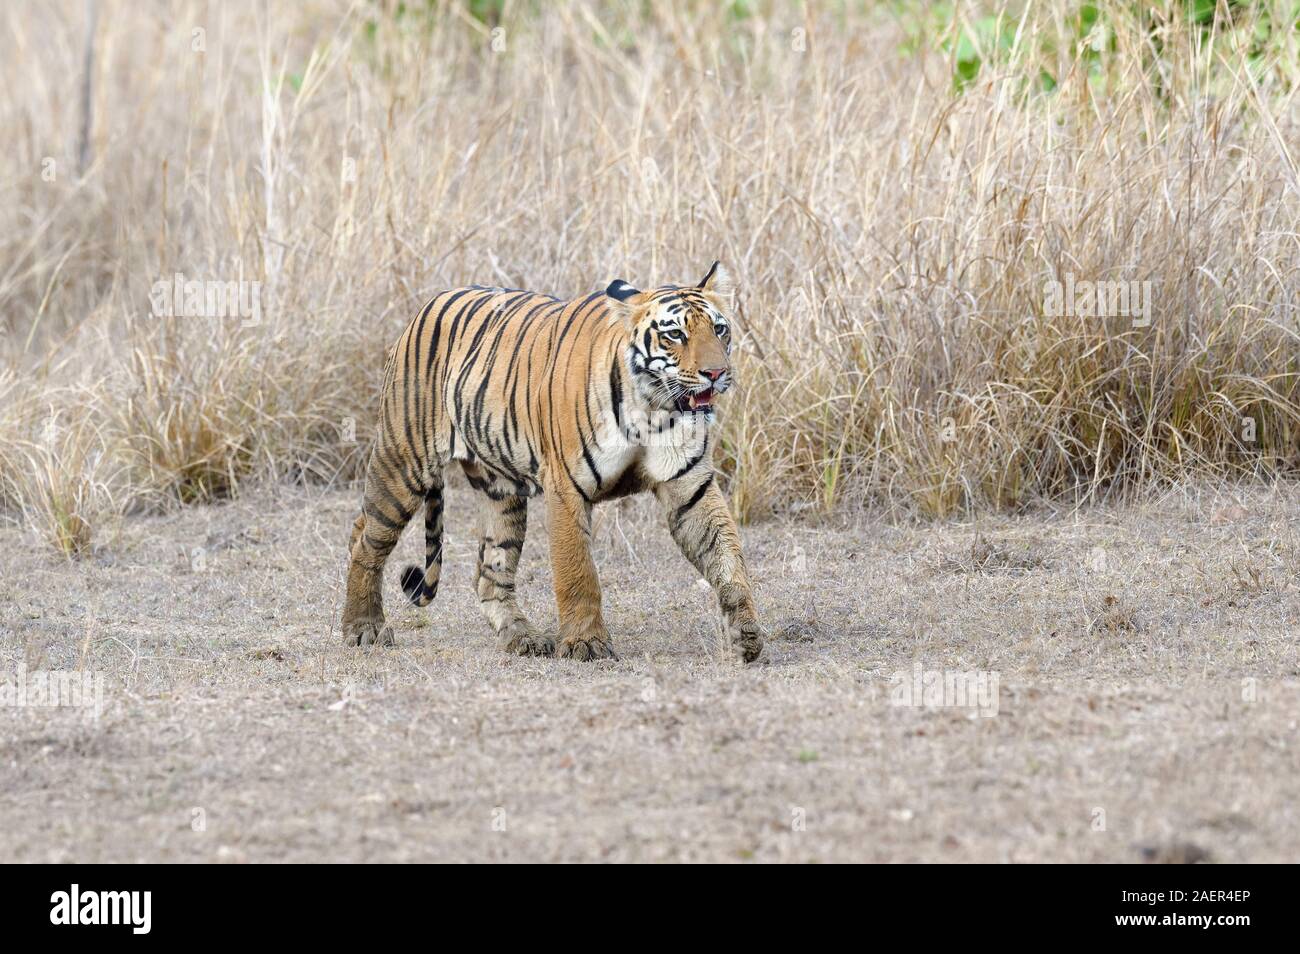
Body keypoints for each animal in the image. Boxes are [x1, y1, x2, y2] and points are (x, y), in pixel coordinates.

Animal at [340, 261, 764, 665]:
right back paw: (363, 628)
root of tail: (429, 303)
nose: (717, 373)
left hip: (501, 493)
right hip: (403, 462)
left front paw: (746, 634)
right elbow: (577, 570)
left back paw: (522, 637)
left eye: (720, 330)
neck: (652, 408)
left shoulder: (690, 488)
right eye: (675, 334)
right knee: (365, 539)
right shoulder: (566, 487)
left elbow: (727, 557)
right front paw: (585, 643)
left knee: (488, 572)